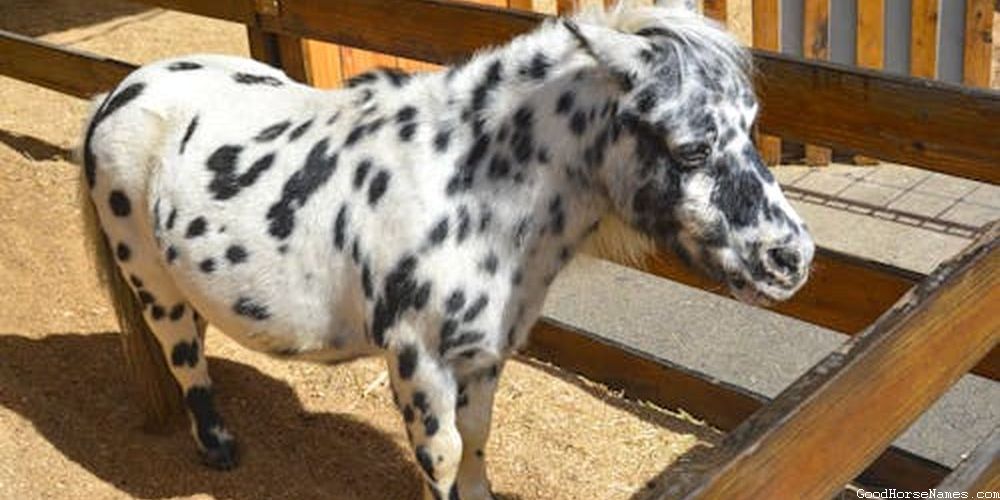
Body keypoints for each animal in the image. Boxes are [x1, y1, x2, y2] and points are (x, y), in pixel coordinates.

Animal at [78, 2, 814, 498]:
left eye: (751, 125)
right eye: (691, 147)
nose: (792, 259)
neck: (466, 193)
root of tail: (118, 92)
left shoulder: (483, 355)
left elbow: (478, 440)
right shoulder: (418, 359)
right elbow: (443, 453)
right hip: (150, 280)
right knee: (180, 352)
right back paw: (218, 446)